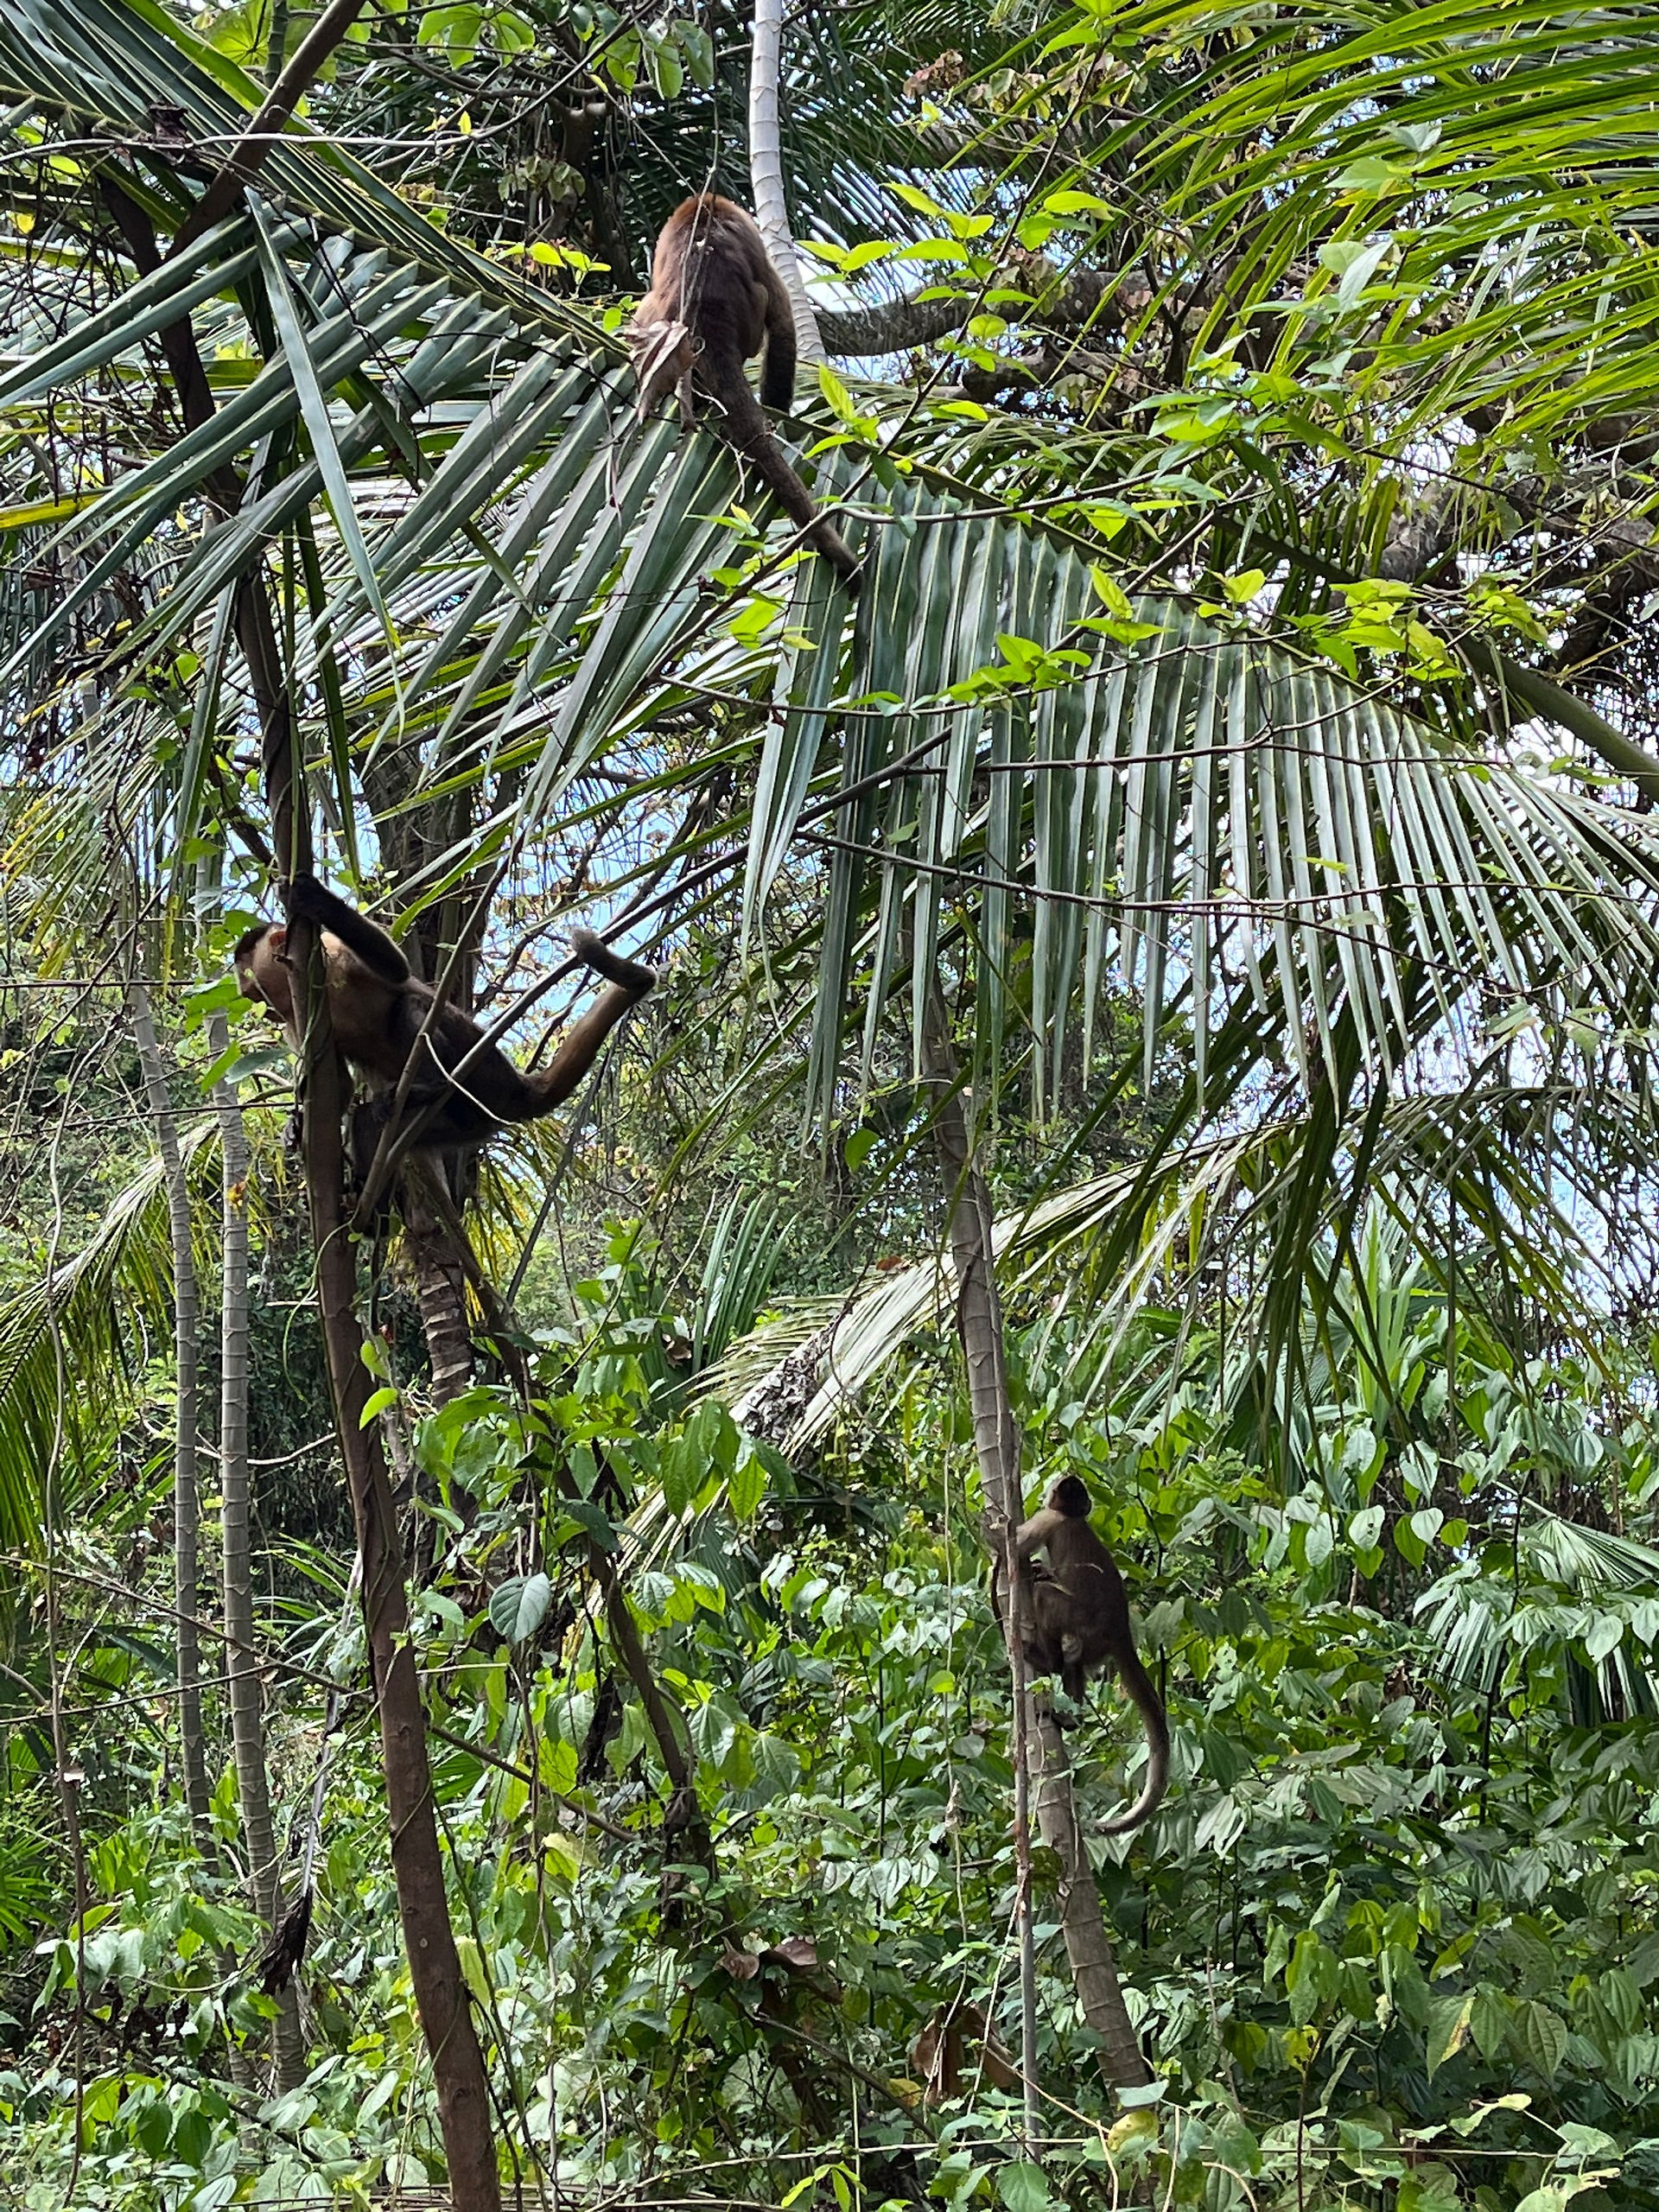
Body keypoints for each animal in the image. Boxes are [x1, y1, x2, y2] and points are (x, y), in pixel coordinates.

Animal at [234, 871, 657, 1180]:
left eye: (253, 989)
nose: (259, 1008)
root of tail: (512, 1086)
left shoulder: (330, 958)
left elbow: (395, 969)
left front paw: (315, 900)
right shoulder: (296, 1018)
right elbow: (336, 1081)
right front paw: (297, 1126)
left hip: (479, 1077)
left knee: (410, 1008)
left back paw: (428, 1084)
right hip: (465, 1124)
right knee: (369, 1122)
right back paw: (366, 1215)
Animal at [997, 1473, 1169, 1835]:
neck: (1071, 1517)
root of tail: (1120, 1629)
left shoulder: (1048, 1519)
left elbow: (1010, 1550)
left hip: (1083, 1623)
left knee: (1045, 1597)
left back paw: (1046, 1660)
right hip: (1093, 1643)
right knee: (1073, 1663)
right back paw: (1071, 1717)